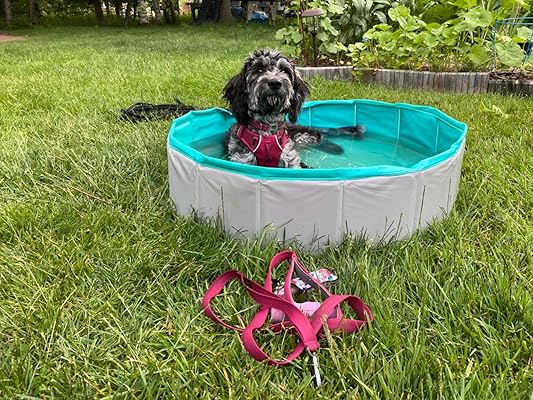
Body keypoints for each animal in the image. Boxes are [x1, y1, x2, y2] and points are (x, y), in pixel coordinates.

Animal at [223, 49, 365, 168]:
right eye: (259, 70)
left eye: (284, 71)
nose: (275, 83)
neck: (267, 133)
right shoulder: (242, 159)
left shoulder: (290, 159)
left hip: (303, 136)